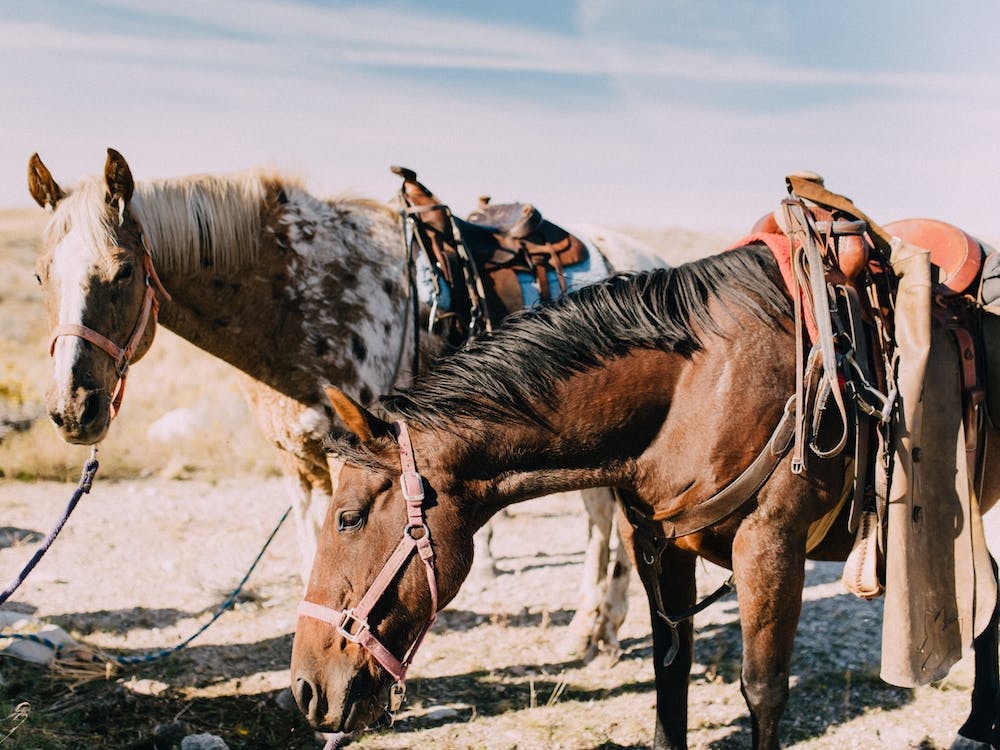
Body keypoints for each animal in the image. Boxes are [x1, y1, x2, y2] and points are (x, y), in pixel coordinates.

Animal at [25, 148, 665, 654]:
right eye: (39, 275)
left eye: (123, 272)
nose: (74, 408)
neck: (300, 302)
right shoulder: (296, 463)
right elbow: (319, 555)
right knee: (603, 514)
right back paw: (598, 630)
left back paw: (594, 627)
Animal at [290, 243, 1000, 749]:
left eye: (348, 518)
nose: (304, 689)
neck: (700, 389)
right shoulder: (658, 545)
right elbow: (669, 677)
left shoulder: (771, 547)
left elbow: (763, 689)